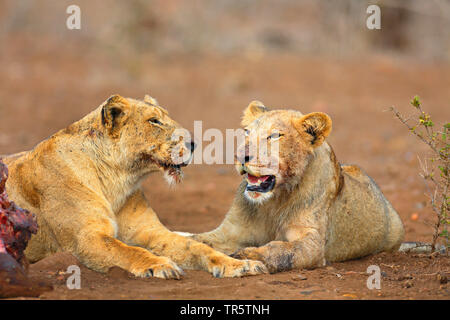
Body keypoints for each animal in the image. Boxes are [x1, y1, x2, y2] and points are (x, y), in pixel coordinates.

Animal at [1, 94, 268, 278]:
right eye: (154, 121)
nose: (193, 143)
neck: (116, 180)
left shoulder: (151, 232)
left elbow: (198, 247)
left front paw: (240, 264)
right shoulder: (87, 239)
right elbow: (127, 251)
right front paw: (159, 265)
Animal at [178, 100, 406, 272]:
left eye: (274, 136)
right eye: (246, 132)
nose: (240, 156)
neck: (273, 201)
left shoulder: (313, 242)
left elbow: (281, 250)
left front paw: (248, 255)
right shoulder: (231, 231)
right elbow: (198, 240)